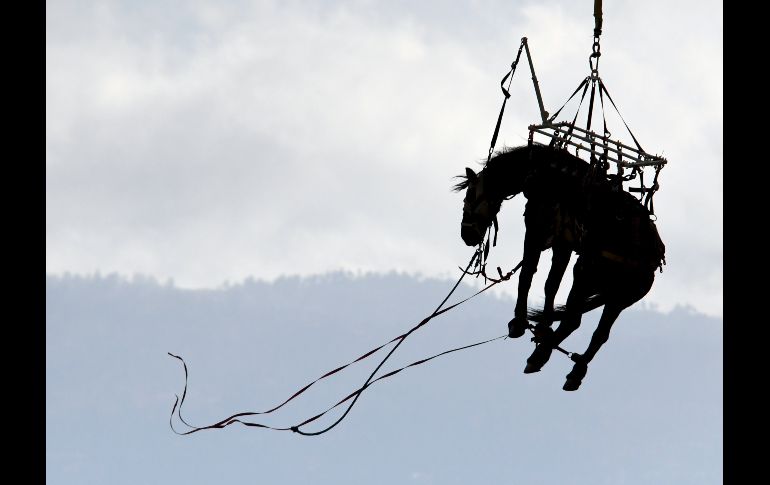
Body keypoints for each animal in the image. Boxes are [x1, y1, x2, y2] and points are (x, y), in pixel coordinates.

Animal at [454, 143, 665, 390]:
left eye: (469, 195)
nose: (466, 235)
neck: (541, 171)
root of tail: (648, 260)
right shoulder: (562, 243)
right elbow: (551, 284)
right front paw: (543, 325)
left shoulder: (536, 229)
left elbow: (527, 274)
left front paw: (519, 322)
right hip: (619, 296)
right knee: (599, 333)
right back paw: (574, 368)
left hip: (587, 273)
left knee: (574, 320)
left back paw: (540, 355)